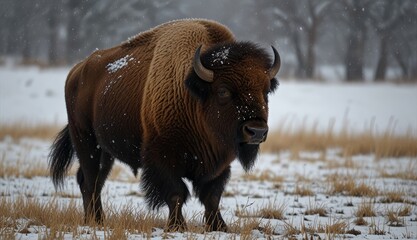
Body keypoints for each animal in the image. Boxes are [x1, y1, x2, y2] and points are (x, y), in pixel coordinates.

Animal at [50, 19, 282, 232]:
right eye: (223, 90)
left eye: (265, 91)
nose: (256, 131)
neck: (193, 94)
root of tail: (76, 72)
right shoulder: (162, 157)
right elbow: (176, 193)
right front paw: (177, 226)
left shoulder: (219, 164)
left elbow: (212, 196)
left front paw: (219, 227)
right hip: (85, 140)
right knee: (90, 181)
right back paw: (96, 221)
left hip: (106, 151)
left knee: (93, 181)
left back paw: (95, 220)